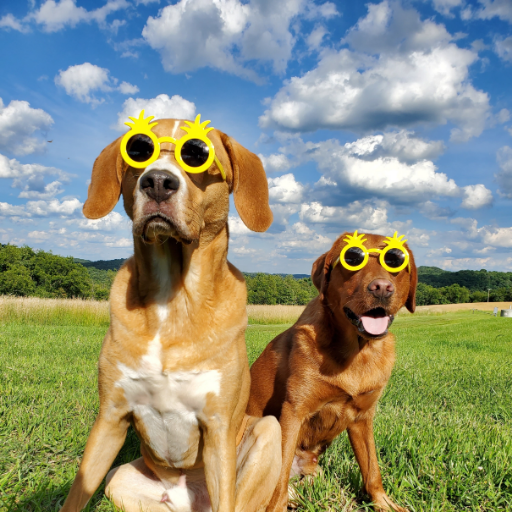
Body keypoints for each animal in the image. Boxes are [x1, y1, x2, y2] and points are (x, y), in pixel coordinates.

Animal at [63, 117, 284, 512]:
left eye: (198, 154)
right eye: (138, 149)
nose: (158, 182)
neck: (173, 300)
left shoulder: (218, 427)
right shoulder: (111, 418)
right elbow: (77, 492)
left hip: (267, 431)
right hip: (118, 479)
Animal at [246, 233, 418, 512]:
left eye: (395, 260)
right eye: (353, 258)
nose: (382, 287)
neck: (356, 352)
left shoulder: (363, 418)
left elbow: (372, 469)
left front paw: (384, 504)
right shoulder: (294, 412)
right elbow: (278, 479)